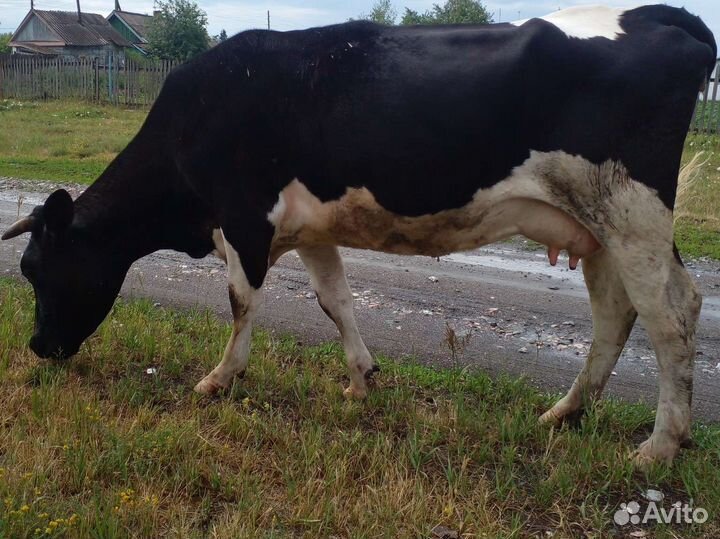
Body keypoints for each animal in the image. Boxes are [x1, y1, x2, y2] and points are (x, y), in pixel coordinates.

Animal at [2, 5, 715, 465]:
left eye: (37, 270)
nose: (36, 346)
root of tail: (655, 15)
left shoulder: (243, 218)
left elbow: (241, 304)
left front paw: (220, 379)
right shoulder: (309, 226)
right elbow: (335, 300)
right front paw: (360, 380)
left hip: (631, 210)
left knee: (672, 313)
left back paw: (658, 447)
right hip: (597, 226)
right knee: (615, 314)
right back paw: (564, 414)